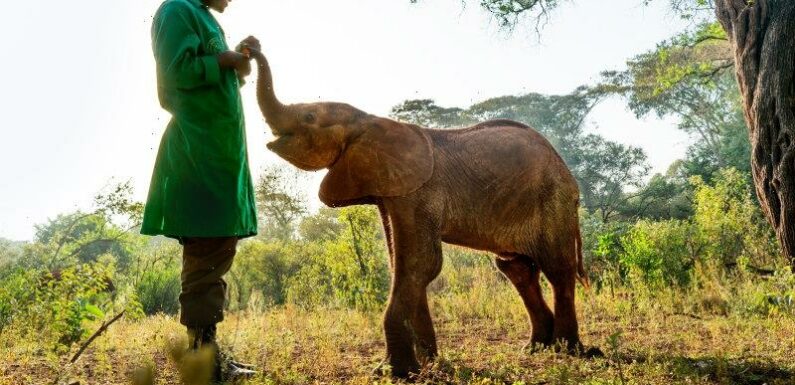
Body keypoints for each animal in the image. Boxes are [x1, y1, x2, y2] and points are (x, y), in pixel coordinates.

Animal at [253, 50, 596, 376]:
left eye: (309, 116)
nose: (250, 46)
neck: (368, 120)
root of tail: (566, 171)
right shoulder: (391, 192)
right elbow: (403, 263)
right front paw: (429, 361)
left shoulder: (421, 192)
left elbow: (420, 263)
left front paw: (395, 371)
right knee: (516, 268)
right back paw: (536, 347)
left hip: (554, 198)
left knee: (556, 267)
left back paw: (568, 350)